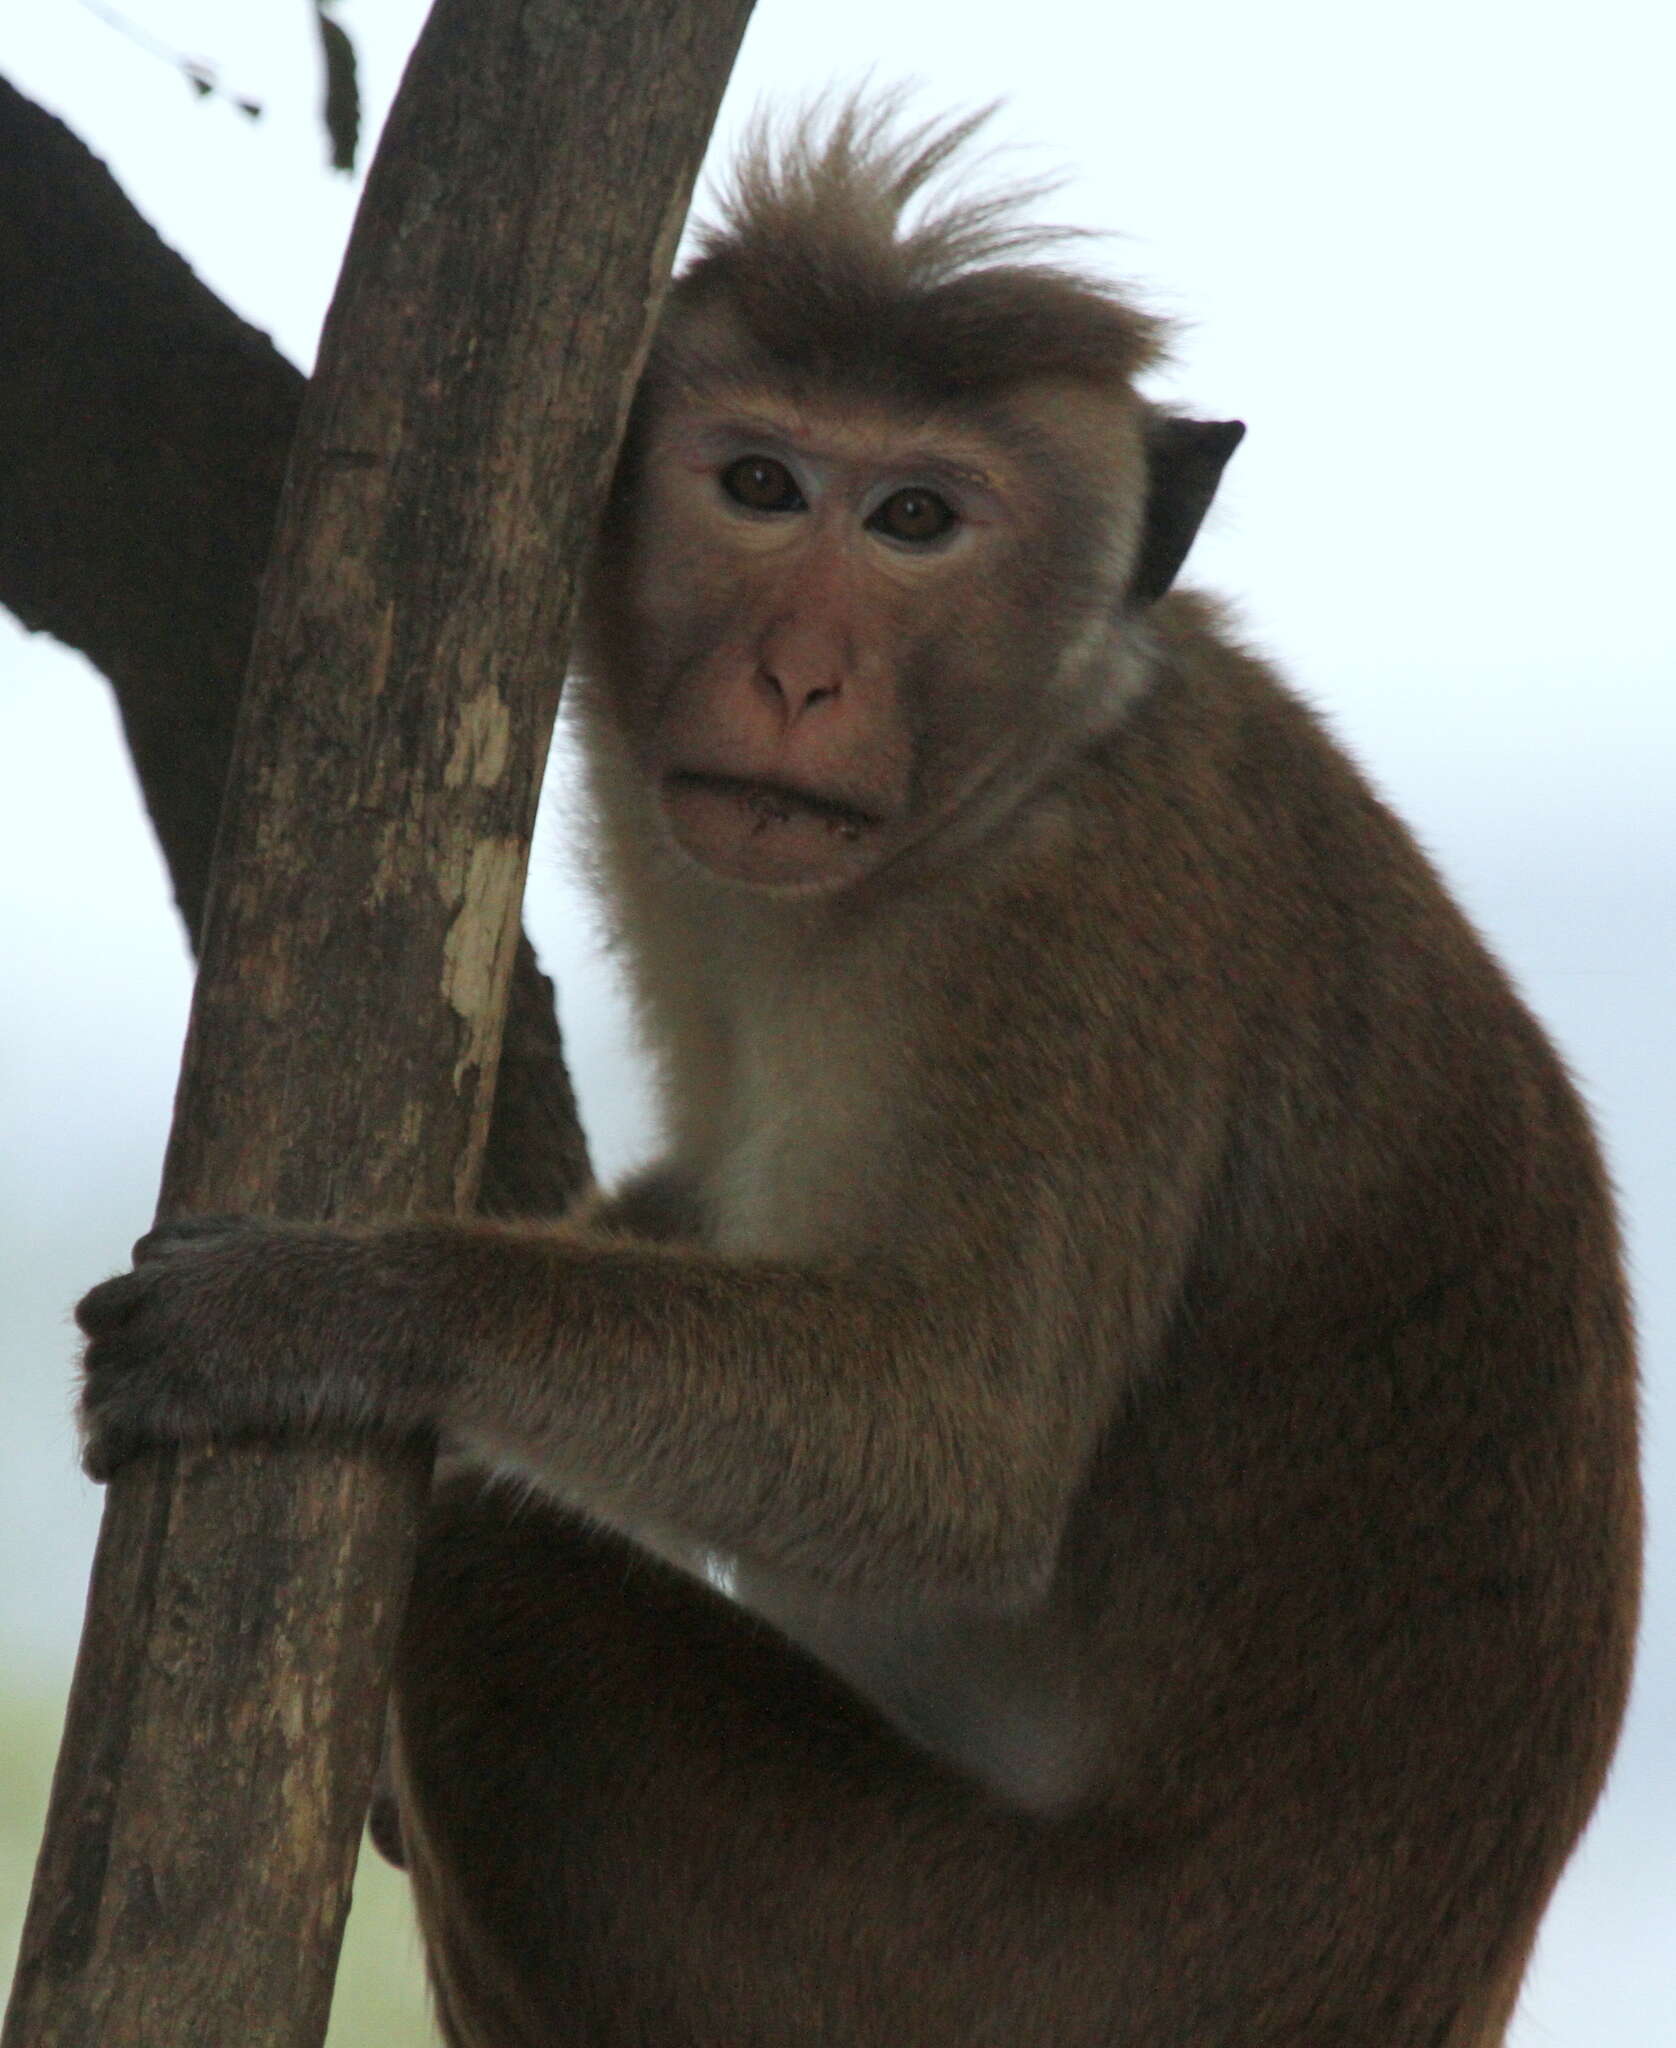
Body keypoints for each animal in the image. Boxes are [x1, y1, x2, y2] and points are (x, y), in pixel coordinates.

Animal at [78, 99, 1630, 2048]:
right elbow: (719, 1196)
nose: (799, 674)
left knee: (493, 1588)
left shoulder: (1083, 937)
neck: (1010, 772)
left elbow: (961, 1440)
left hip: (942, 1970)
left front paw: (338, 1306)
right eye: (760, 486)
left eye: (915, 521)